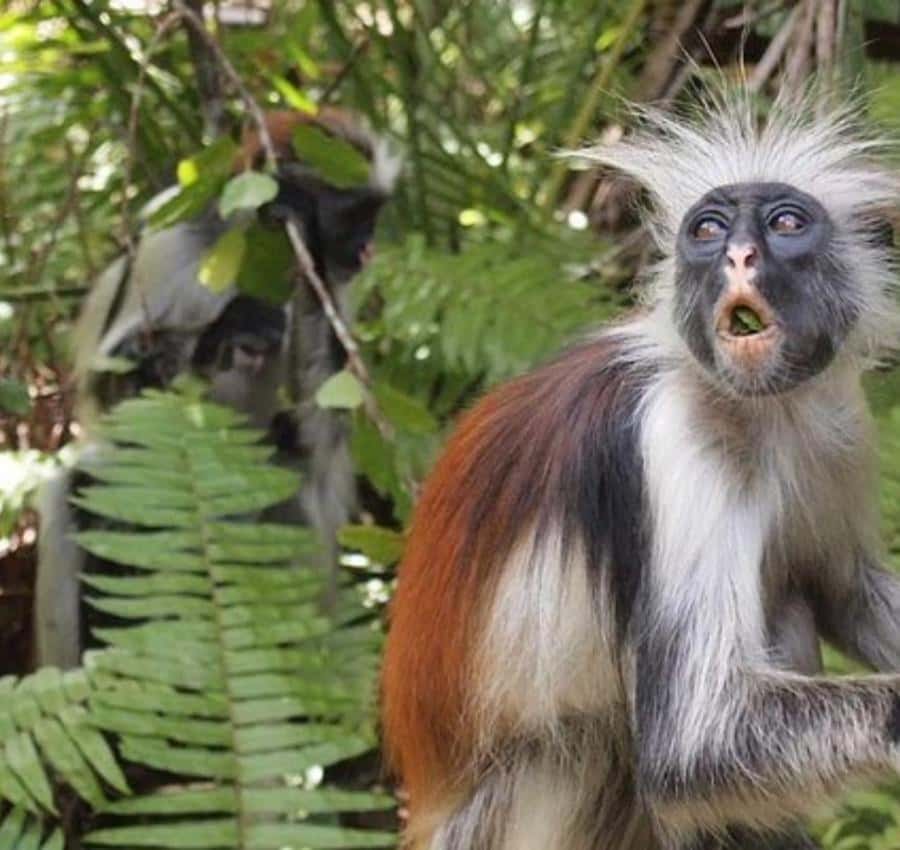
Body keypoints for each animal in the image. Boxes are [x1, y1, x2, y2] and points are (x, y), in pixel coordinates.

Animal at [35, 108, 400, 669]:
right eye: (354, 216)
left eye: (374, 215)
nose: (367, 249)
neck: (248, 248)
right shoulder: (167, 241)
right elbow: (112, 396)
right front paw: (211, 339)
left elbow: (324, 427)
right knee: (81, 485)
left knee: (291, 461)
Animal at [380, 90, 900, 850]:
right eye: (708, 231)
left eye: (785, 223)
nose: (738, 255)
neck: (760, 409)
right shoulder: (677, 436)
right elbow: (693, 744)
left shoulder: (838, 422)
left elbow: (847, 590)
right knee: (595, 742)